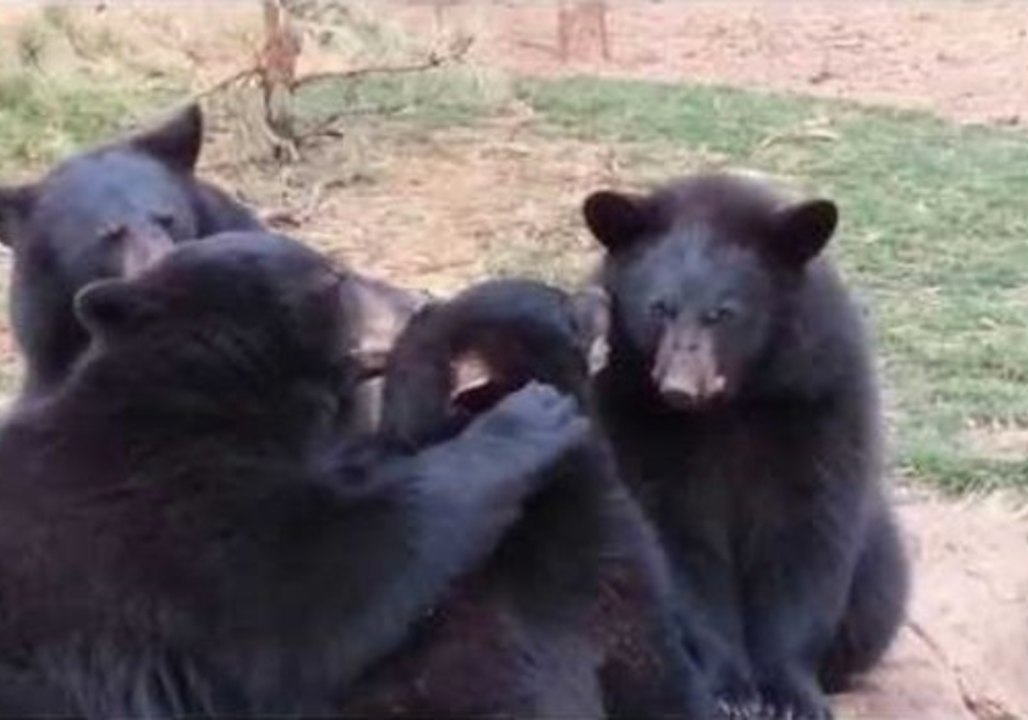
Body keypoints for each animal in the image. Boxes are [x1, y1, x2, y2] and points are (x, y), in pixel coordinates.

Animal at [582, 171, 909, 720]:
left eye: (723, 313)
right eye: (659, 308)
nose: (678, 387)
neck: (728, 406)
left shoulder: (818, 394)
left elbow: (808, 531)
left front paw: (791, 694)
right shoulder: (628, 409)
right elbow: (672, 538)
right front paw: (729, 690)